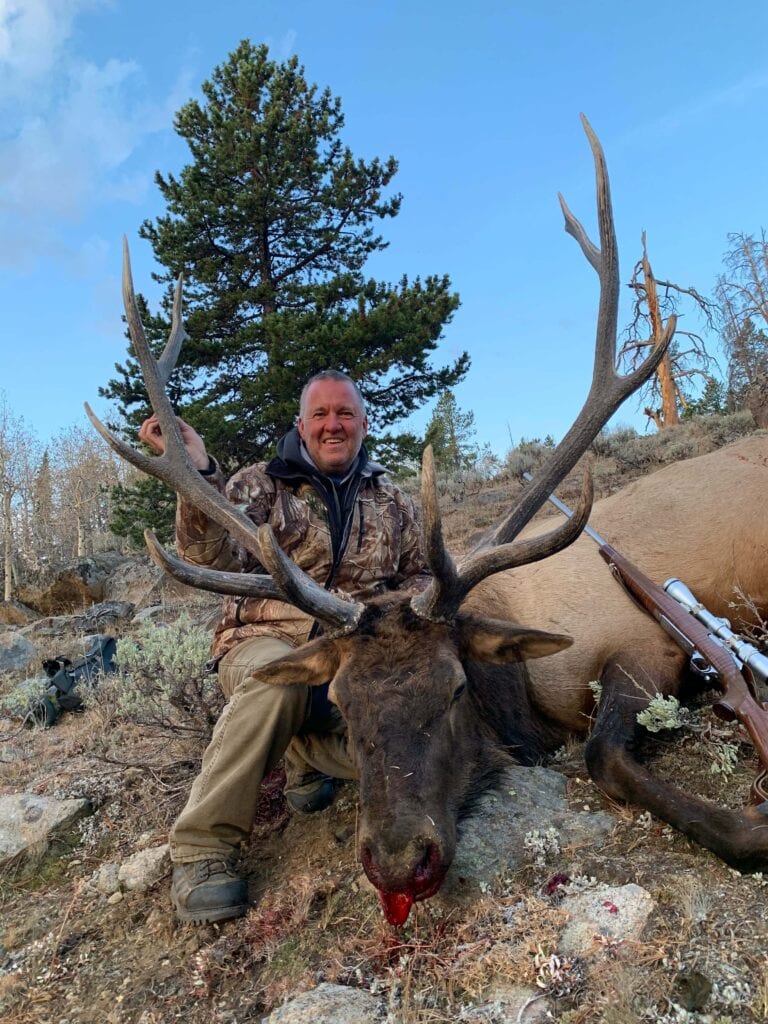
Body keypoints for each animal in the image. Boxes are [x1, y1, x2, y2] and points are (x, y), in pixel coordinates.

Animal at [87, 117, 768, 927]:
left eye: (453, 689)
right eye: (343, 706)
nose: (398, 863)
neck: (524, 698)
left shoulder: (642, 644)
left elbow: (603, 754)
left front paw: (753, 828)